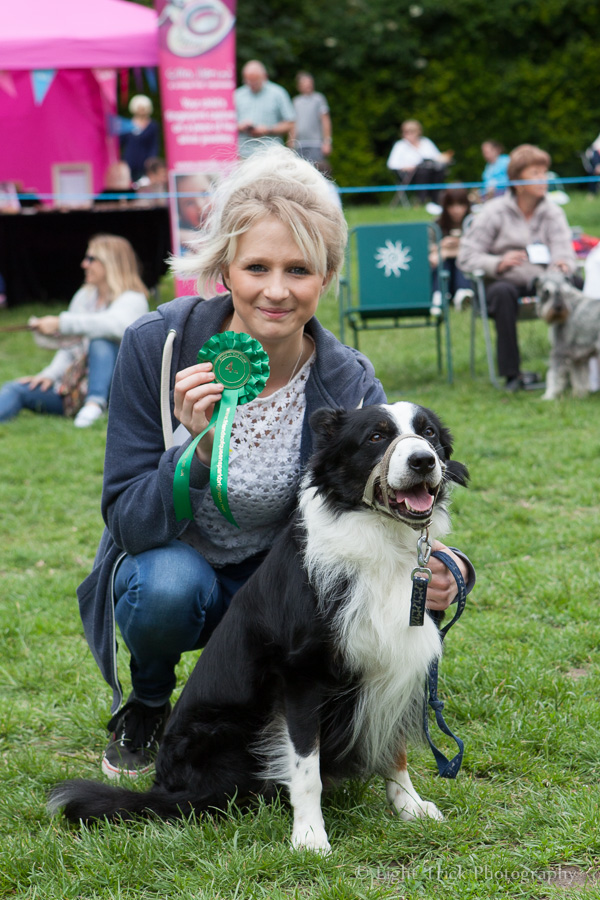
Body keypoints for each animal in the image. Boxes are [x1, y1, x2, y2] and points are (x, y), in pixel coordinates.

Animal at [49, 401, 468, 853]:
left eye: (428, 433)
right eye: (376, 436)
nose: (423, 460)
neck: (382, 541)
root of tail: (165, 787)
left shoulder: (395, 662)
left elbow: (394, 747)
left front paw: (409, 805)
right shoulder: (302, 676)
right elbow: (306, 768)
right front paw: (309, 836)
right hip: (227, 732)